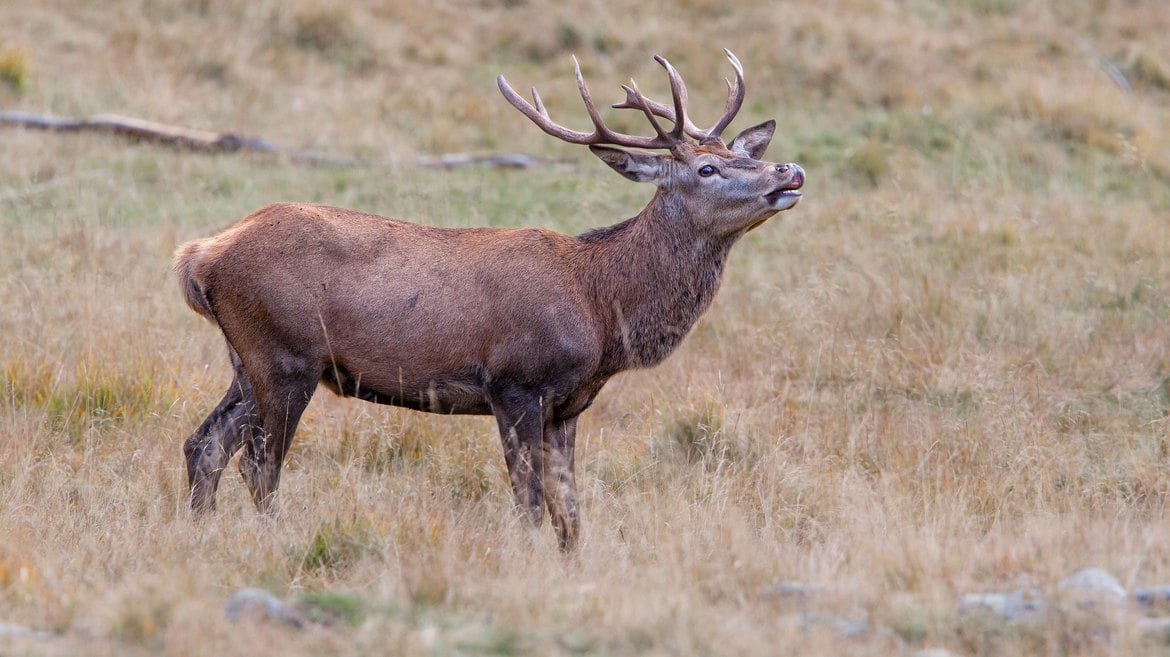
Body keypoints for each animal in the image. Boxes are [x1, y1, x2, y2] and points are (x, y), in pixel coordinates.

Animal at [175, 51, 804, 549]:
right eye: (707, 167)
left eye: (744, 155)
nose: (788, 168)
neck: (600, 305)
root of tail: (200, 255)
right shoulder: (515, 382)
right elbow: (529, 503)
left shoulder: (568, 405)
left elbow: (570, 512)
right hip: (284, 355)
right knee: (259, 465)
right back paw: (270, 540)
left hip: (248, 360)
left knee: (205, 445)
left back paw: (201, 536)